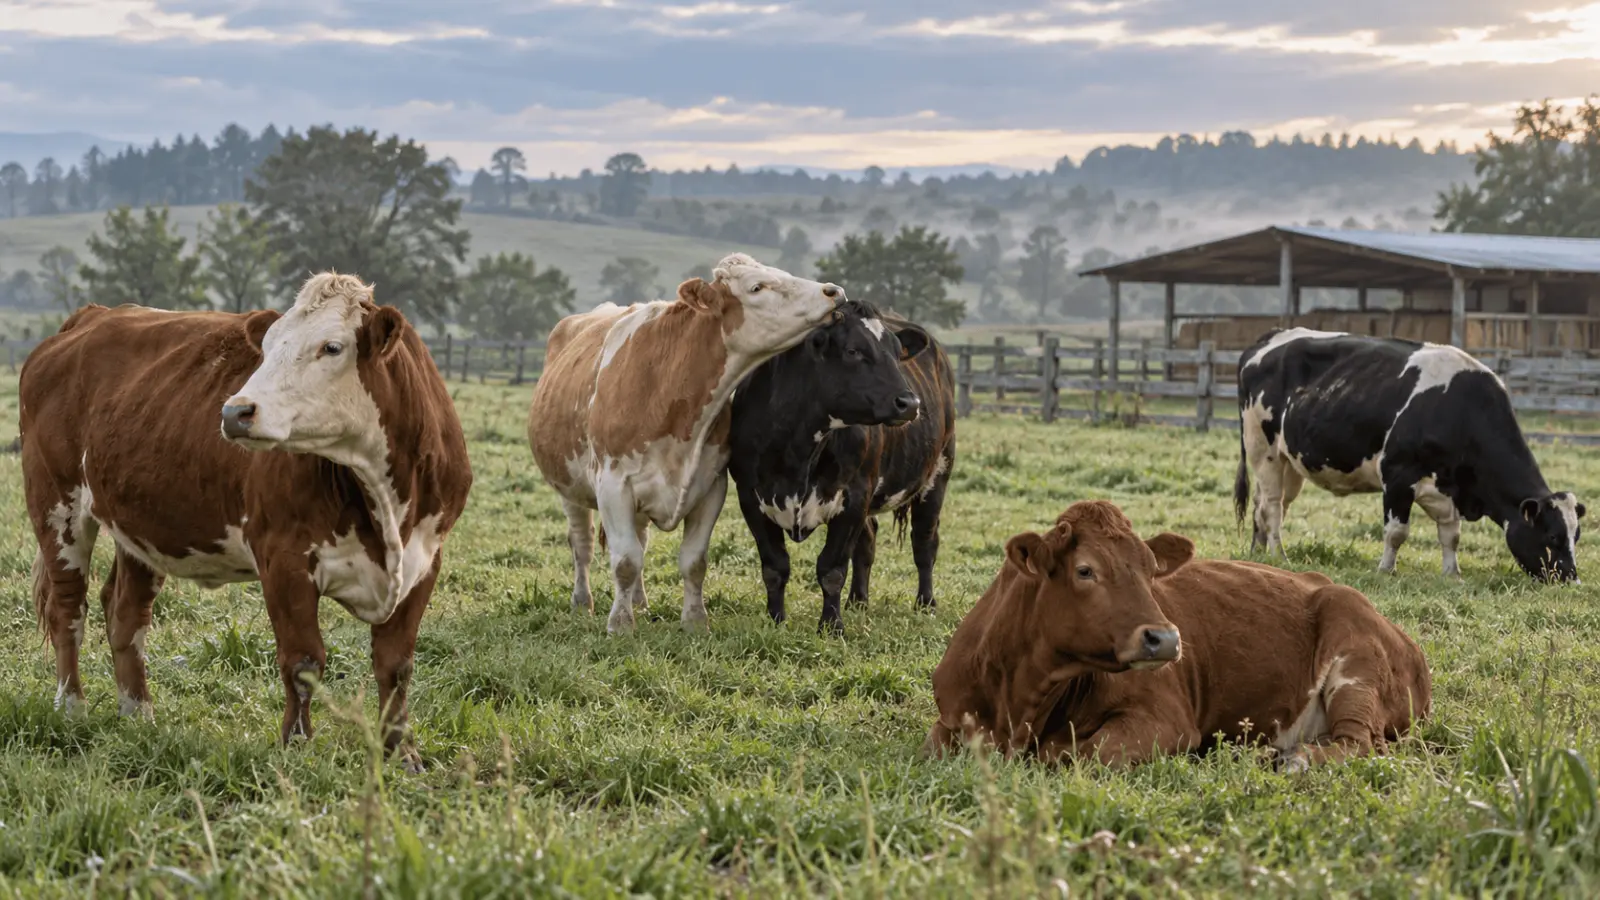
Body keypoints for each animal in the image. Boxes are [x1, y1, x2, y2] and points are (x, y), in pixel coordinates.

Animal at [21, 273, 471, 771]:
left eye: (332, 347)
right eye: (268, 346)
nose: (235, 411)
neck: (383, 501)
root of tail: (94, 316)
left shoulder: (423, 561)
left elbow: (396, 665)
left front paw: (401, 754)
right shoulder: (283, 559)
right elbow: (303, 661)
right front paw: (296, 748)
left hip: (137, 522)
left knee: (126, 614)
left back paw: (138, 715)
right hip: (56, 503)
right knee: (68, 608)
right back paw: (71, 707)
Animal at [527, 253, 845, 635]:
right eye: (756, 287)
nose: (833, 291)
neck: (667, 387)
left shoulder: (711, 486)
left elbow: (693, 560)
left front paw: (694, 621)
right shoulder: (613, 485)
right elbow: (625, 561)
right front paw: (620, 624)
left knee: (640, 539)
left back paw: (640, 602)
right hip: (569, 487)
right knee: (582, 544)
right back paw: (582, 602)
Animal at [727, 299, 955, 634]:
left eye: (897, 351)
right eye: (852, 350)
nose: (910, 403)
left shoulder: (854, 497)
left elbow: (832, 568)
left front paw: (832, 626)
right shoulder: (750, 497)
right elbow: (775, 566)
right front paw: (776, 620)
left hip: (938, 471)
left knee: (924, 542)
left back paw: (925, 603)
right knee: (868, 542)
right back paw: (858, 601)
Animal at [921, 500, 1432, 771]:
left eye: (1151, 571)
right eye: (1085, 570)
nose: (1164, 639)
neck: (1018, 699)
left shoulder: (1163, 721)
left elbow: (1078, 752)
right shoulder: (949, 719)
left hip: (1355, 659)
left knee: (1359, 741)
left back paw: (1293, 758)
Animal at [1235, 328, 1584, 582]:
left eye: (1576, 537)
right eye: (1552, 536)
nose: (1571, 579)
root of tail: (1272, 337)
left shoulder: (1449, 490)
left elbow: (1451, 536)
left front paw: (1452, 574)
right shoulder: (1397, 476)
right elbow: (1396, 532)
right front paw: (1385, 570)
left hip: (1290, 463)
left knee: (1264, 505)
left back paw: (1258, 552)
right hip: (1263, 450)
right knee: (1273, 507)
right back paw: (1278, 555)